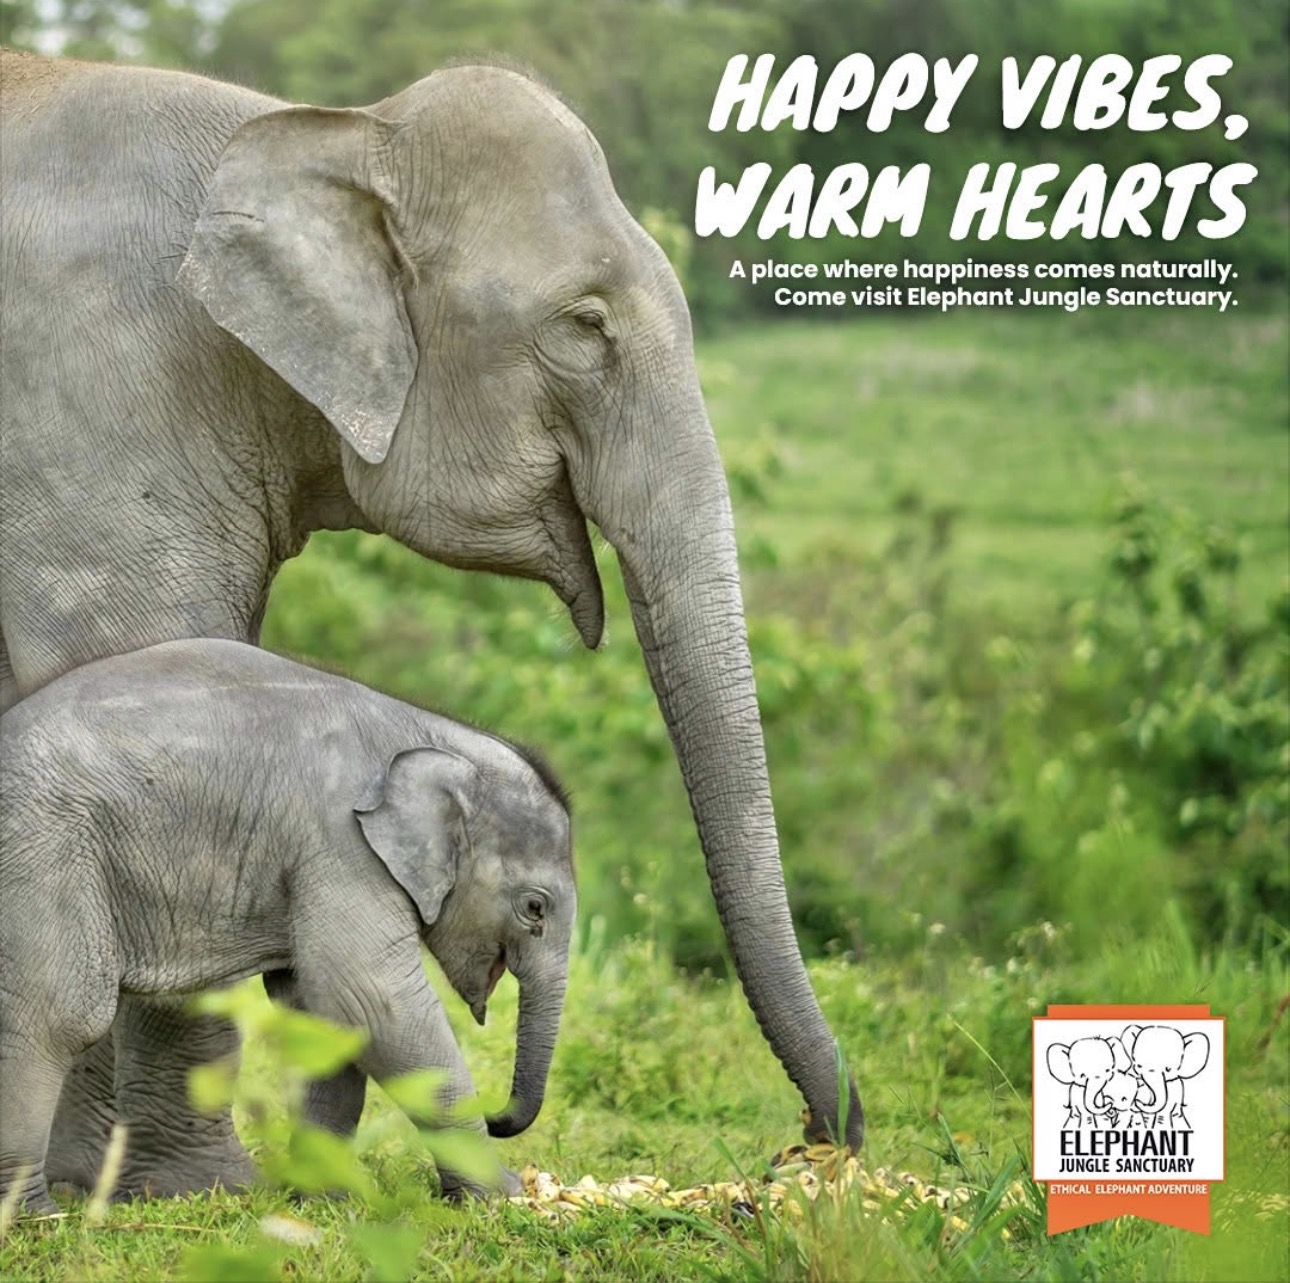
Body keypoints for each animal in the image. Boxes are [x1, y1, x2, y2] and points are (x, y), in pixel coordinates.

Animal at [0, 639, 574, 1211]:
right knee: (57, 1016)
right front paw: (501, 1197)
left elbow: (324, 1020)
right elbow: (371, 1000)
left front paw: (327, 1203)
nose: (500, 1118)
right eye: (534, 908)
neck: (434, 736)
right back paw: (35, 1217)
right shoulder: (341, 846)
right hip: (46, 851)